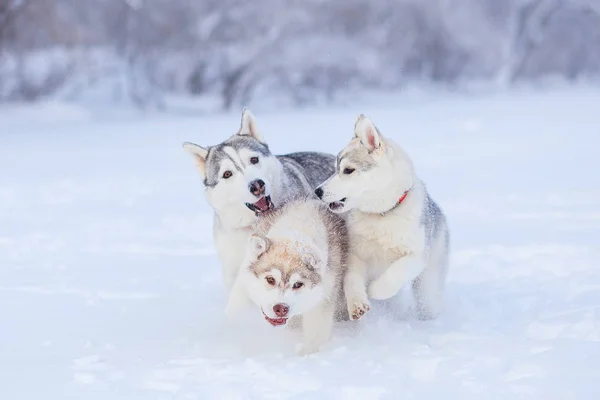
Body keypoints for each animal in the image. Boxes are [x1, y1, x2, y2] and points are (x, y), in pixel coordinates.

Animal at [225, 198, 346, 354]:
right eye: (270, 279)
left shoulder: (322, 300)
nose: (281, 308)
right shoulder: (243, 285)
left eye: (298, 284)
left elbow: (315, 337)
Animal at [314, 114, 450, 320]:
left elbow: (394, 274)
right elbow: (351, 280)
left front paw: (375, 290)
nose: (318, 191)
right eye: (335, 169)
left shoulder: (417, 255)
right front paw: (357, 303)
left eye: (348, 170)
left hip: (428, 286)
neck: (382, 215)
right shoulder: (355, 255)